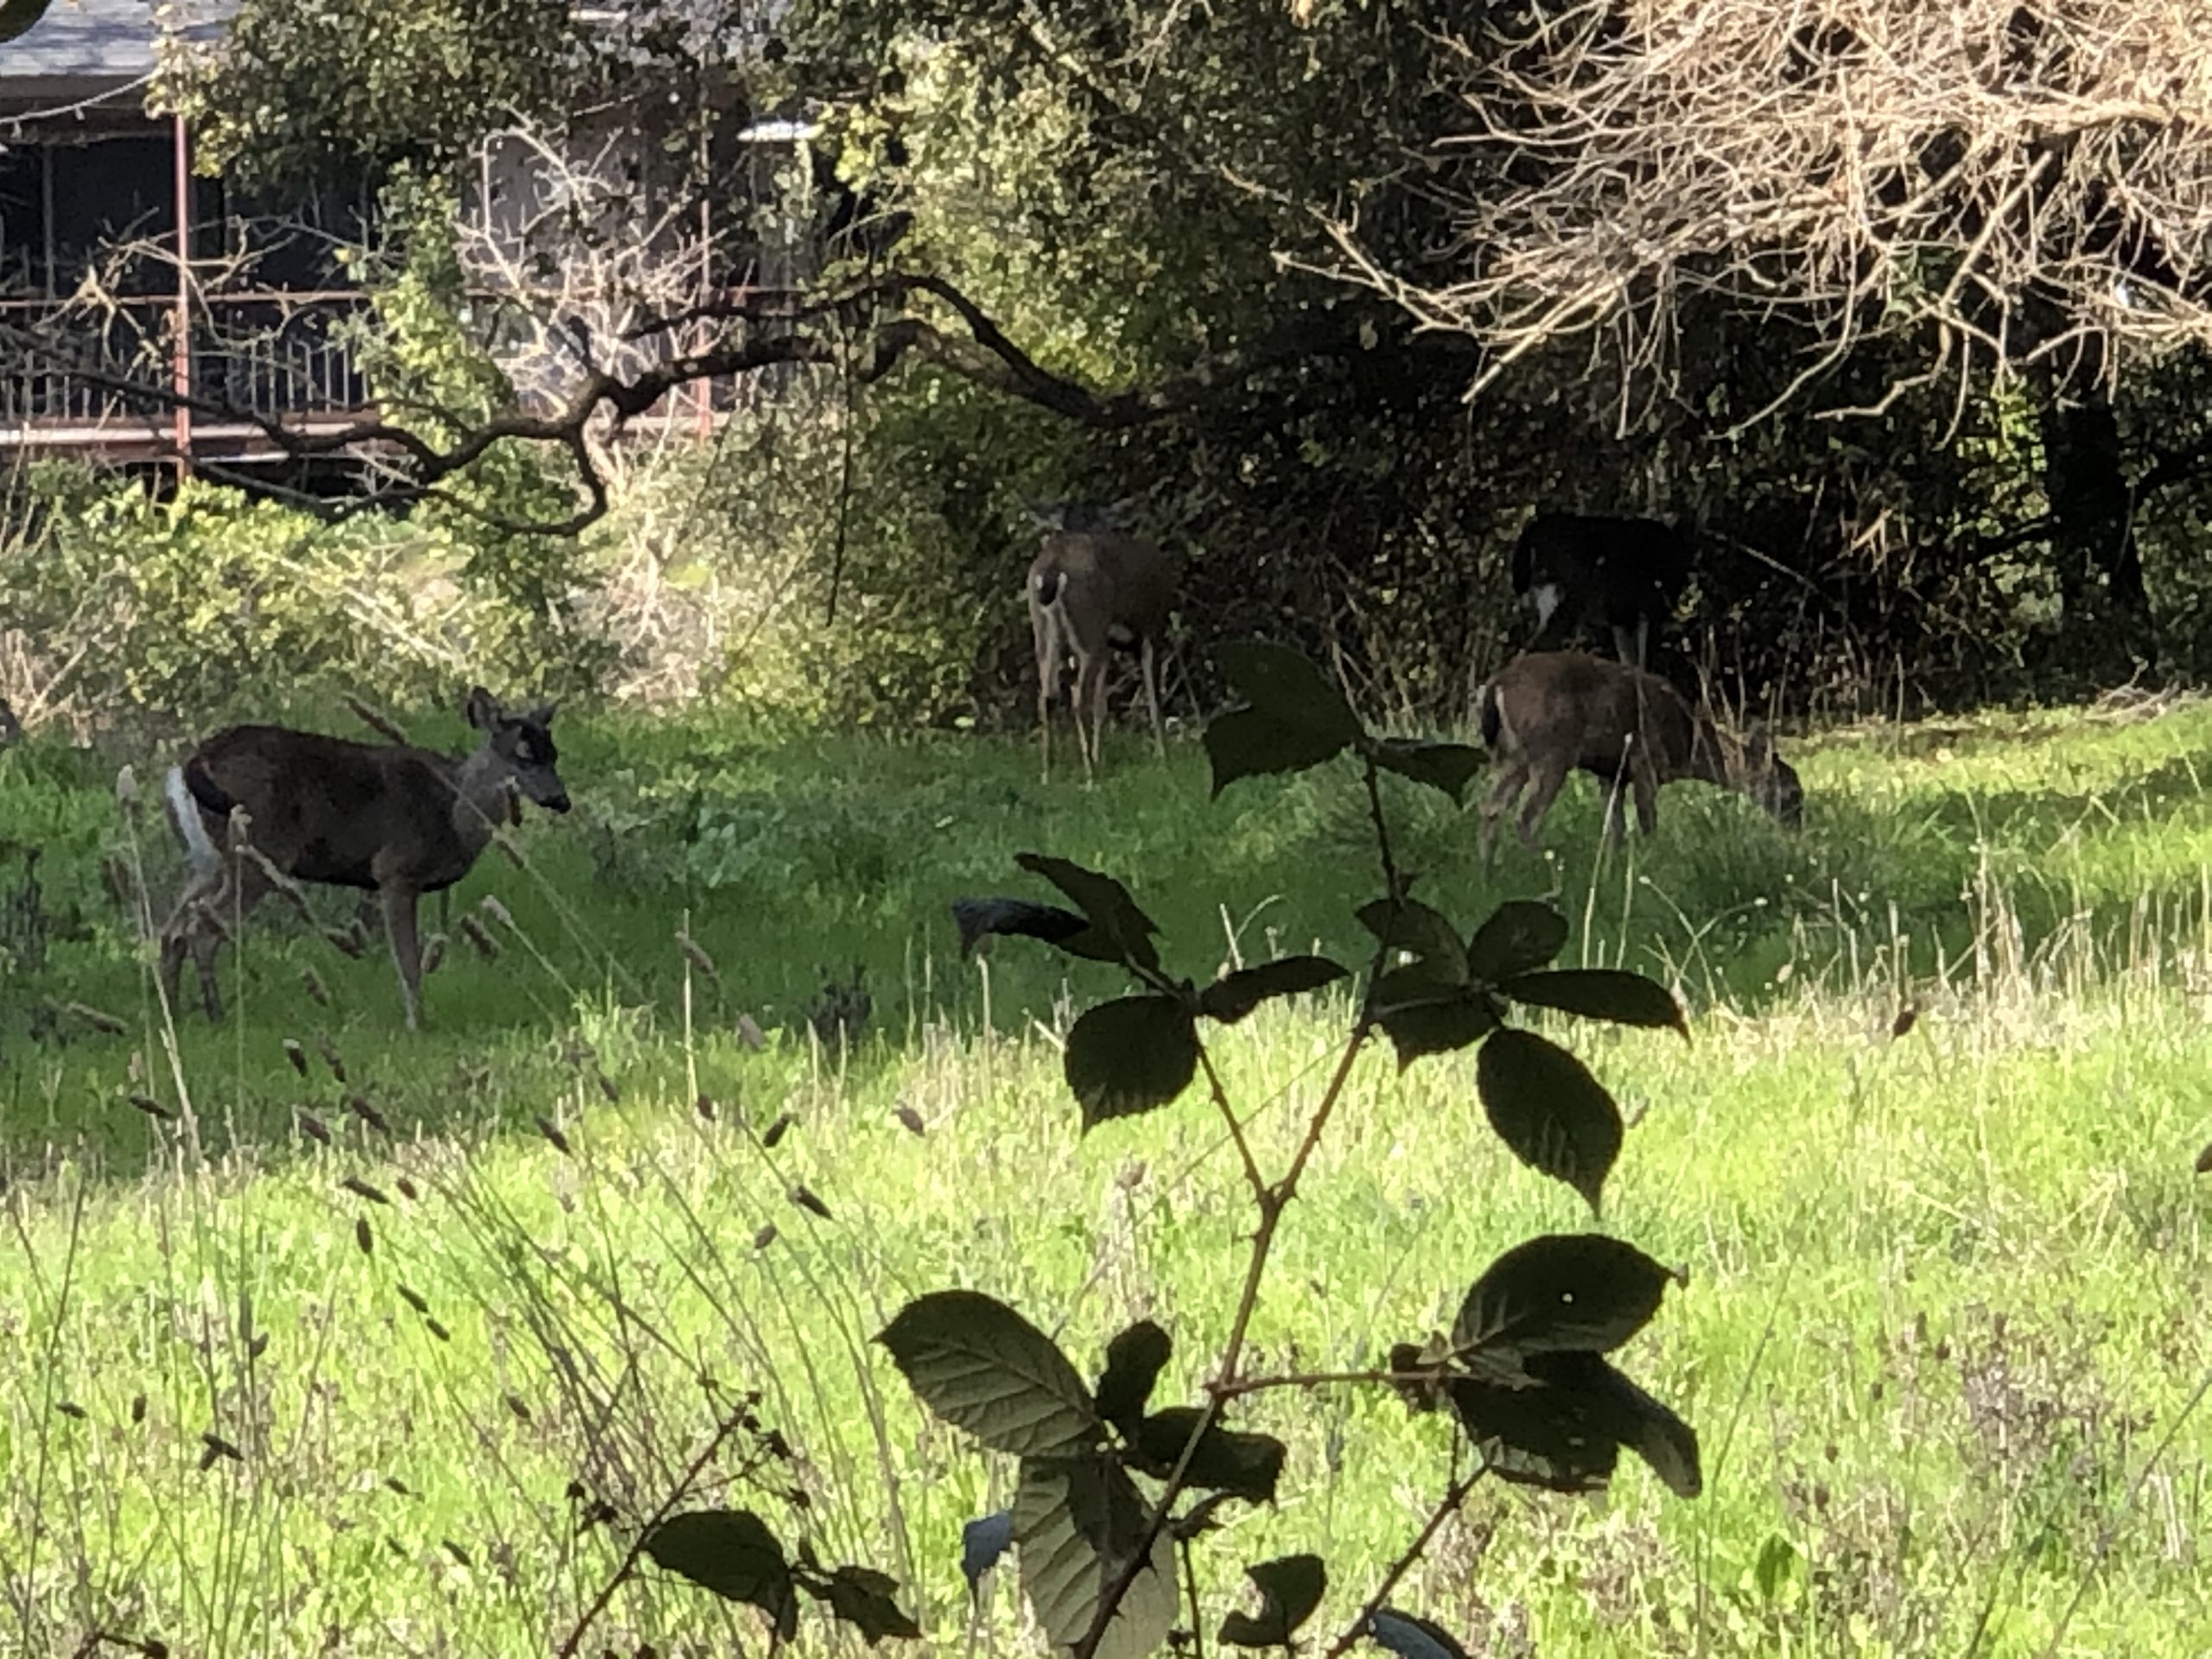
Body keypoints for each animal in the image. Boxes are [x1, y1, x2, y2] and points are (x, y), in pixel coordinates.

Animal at [157, 687, 571, 1031]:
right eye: (522, 755)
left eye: (554, 753)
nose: (561, 800)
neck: (452, 813)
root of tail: (195, 761)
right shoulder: (395, 870)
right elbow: (408, 961)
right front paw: (418, 1025)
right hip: (259, 851)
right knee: (201, 930)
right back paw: (216, 1018)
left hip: (210, 861)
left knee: (173, 929)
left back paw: (176, 1017)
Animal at [1028, 525, 1176, 780]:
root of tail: (1053, 567)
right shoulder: (1151, 630)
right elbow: (1154, 699)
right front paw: (1163, 759)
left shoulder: (1109, 646)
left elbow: (1101, 705)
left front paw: (1100, 755)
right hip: (1089, 630)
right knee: (1078, 696)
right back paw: (1090, 774)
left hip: (1045, 636)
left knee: (1047, 697)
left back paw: (1048, 774)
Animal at [1474, 651, 1801, 860]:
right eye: (1791, 791)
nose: (1797, 825)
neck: (1687, 743)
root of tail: (1497, 684)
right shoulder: (1646, 763)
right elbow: (1647, 823)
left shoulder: (1612, 774)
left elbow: (1615, 829)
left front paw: (1611, 869)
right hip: (1551, 750)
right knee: (1525, 816)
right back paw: (1542, 864)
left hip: (1512, 755)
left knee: (1491, 807)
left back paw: (1486, 872)